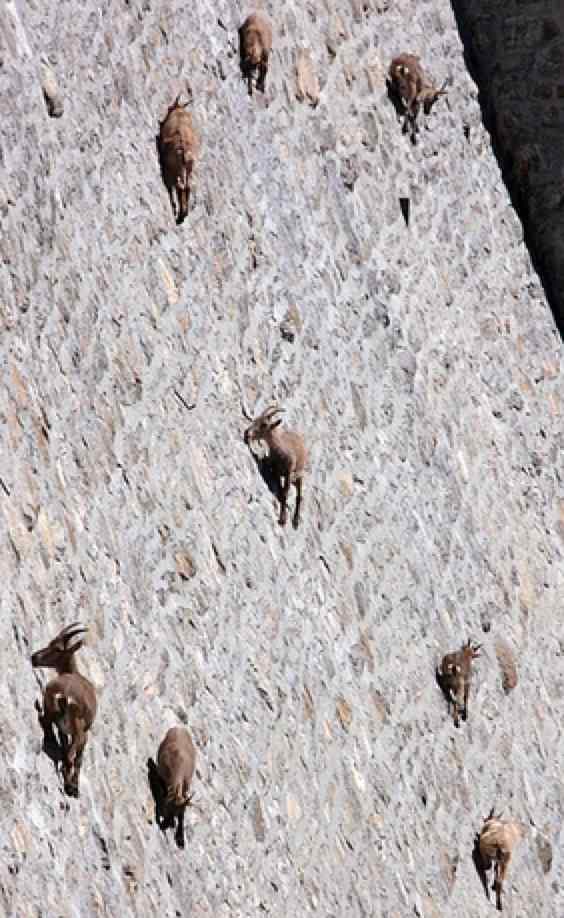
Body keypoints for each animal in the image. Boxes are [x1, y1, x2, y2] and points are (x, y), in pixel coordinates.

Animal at [31, 623, 97, 797]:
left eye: (57, 648)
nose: (34, 657)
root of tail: (65, 695)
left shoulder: (65, 729)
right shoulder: (84, 734)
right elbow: (78, 760)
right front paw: (75, 787)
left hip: (55, 711)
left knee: (46, 722)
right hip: (77, 729)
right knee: (70, 755)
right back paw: (69, 787)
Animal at [157, 93, 199, 224]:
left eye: (169, 108)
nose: (169, 108)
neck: (180, 113)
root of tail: (185, 153)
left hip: (178, 167)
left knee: (180, 185)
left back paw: (180, 215)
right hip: (189, 168)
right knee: (188, 185)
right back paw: (184, 214)